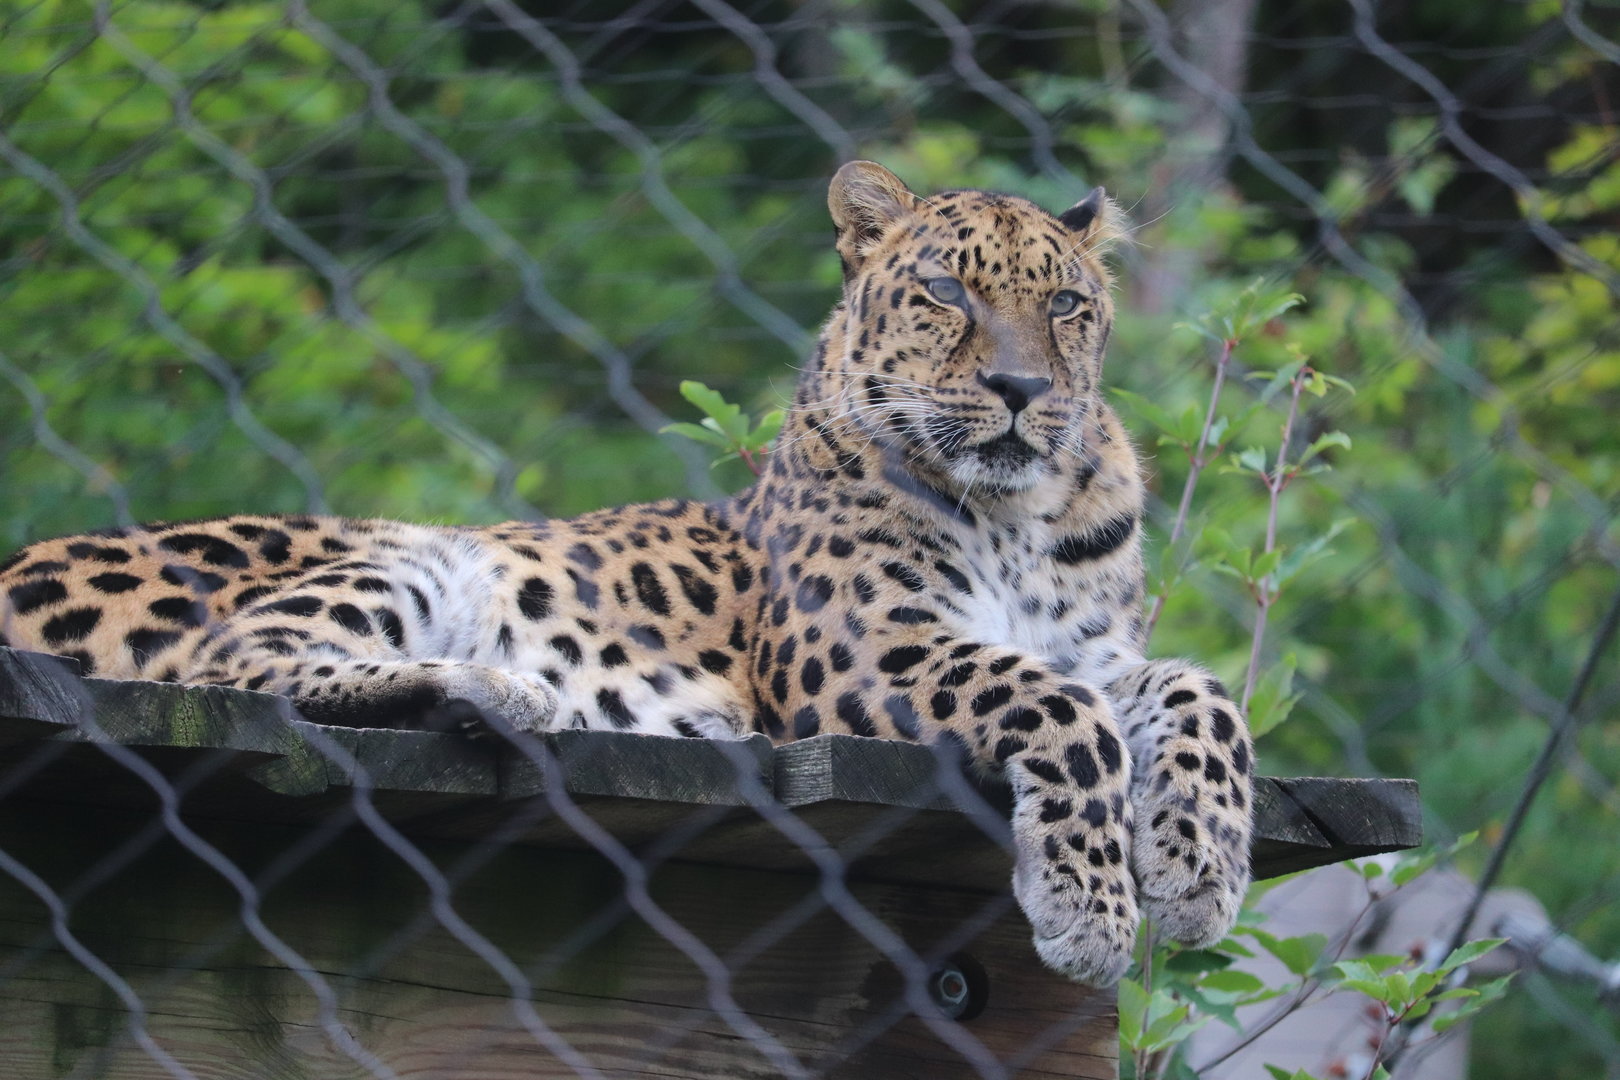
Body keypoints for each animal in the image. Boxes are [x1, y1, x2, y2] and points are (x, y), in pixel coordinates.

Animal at [0, 161, 1254, 986]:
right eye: (946, 292)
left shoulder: (1099, 649)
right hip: (403, 552)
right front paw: (1093, 912)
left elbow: (1200, 693)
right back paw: (510, 689)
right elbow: (1064, 711)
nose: (1020, 390)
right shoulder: (862, 653)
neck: (1018, 517)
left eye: (1068, 305)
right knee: (234, 663)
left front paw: (1198, 871)